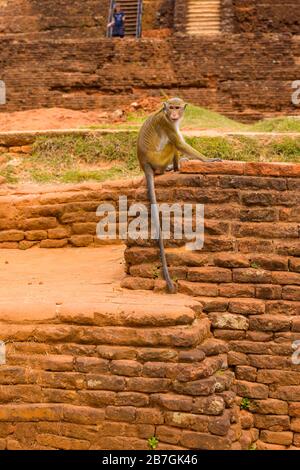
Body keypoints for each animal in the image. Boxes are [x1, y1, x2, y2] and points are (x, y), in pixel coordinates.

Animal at [138, 97, 220, 292]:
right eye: (171, 108)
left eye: (177, 108)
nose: (174, 114)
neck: (166, 115)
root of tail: (145, 164)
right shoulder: (167, 124)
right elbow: (180, 143)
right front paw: (207, 159)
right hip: (158, 160)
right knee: (172, 143)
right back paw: (171, 168)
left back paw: (174, 167)